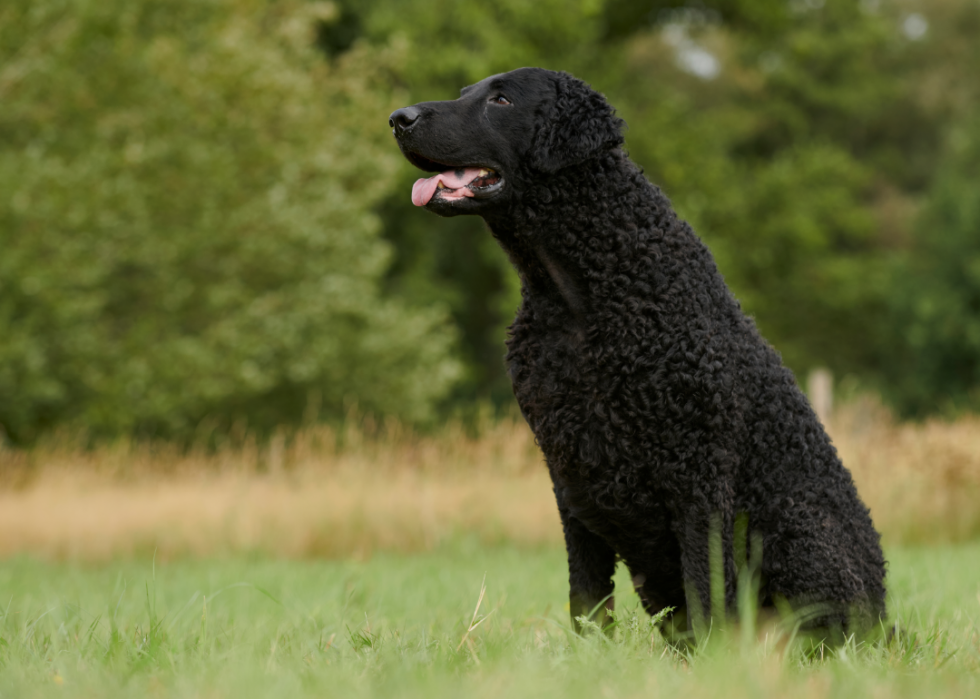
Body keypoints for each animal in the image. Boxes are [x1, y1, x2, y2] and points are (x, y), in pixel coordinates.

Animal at [390, 68, 888, 636]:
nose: (398, 118)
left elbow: (706, 589)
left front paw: (714, 653)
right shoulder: (568, 472)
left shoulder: (697, 474)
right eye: (465, 92)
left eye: (501, 99)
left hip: (799, 531)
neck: (576, 295)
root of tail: (885, 612)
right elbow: (586, 596)